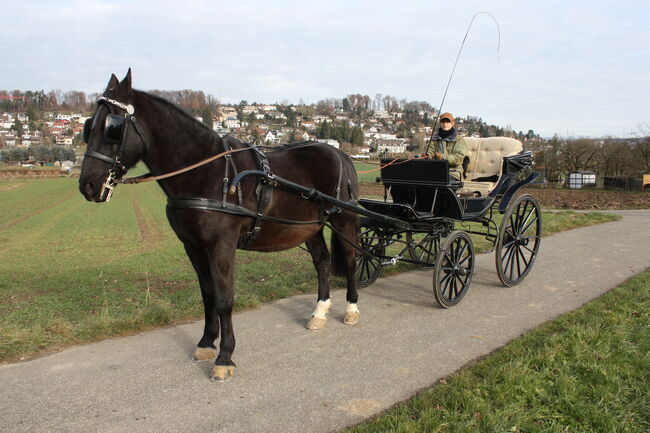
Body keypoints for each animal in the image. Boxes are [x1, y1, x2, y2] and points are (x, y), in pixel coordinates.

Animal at [78, 70, 360, 378]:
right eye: (89, 126)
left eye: (112, 127)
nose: (87, 185)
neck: (206, 172)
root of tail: (341, 155)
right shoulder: (193, 246)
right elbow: (208, 294)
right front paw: (205, 343)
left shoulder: (221, 245)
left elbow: (225, 298)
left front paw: (225, 356)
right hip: (310, 226)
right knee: (322, 262)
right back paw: (319, 312)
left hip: (343, 220)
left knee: (351, 259)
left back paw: (351, 309)